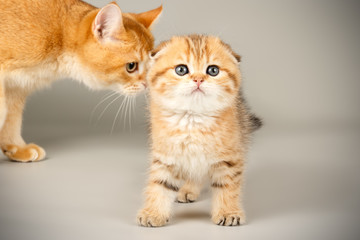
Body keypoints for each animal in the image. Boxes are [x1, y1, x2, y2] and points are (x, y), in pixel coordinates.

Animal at [0, 0, 162, 162]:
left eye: (151, 65)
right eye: (131, 66)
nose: (147, 85)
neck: (59, 33)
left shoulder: (17, 86)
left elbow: (12, 117)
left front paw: (16, 147)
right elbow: (3, 111)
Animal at [137, 34, 262, 226]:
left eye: (213, 70)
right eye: (181, 69)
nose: (198, 79)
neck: (193, 119)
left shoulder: (230, 157)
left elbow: (228, 186)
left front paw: (228, 212)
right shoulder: (166, 156)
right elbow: (160, 184)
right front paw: (154, 212)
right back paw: (188, 190)